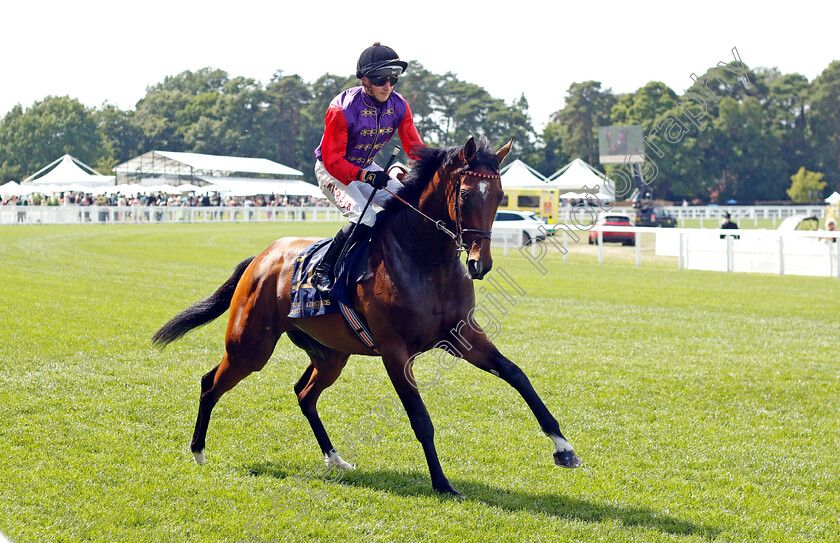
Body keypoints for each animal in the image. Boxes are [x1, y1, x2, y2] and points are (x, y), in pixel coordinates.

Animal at [154, 136, 580, 498]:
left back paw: (335, 458)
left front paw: (564, 448)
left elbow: (516, 375)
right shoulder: (395, 351)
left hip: (330, 354)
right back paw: (198, 450)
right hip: (250, 346)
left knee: (304, 393)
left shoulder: (462, 336)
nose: (480, 263)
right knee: (211, 383)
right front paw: (442, 484)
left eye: (501, 195)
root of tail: (261, 258)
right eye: (464, 193)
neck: (426, 259)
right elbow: (420, 418)